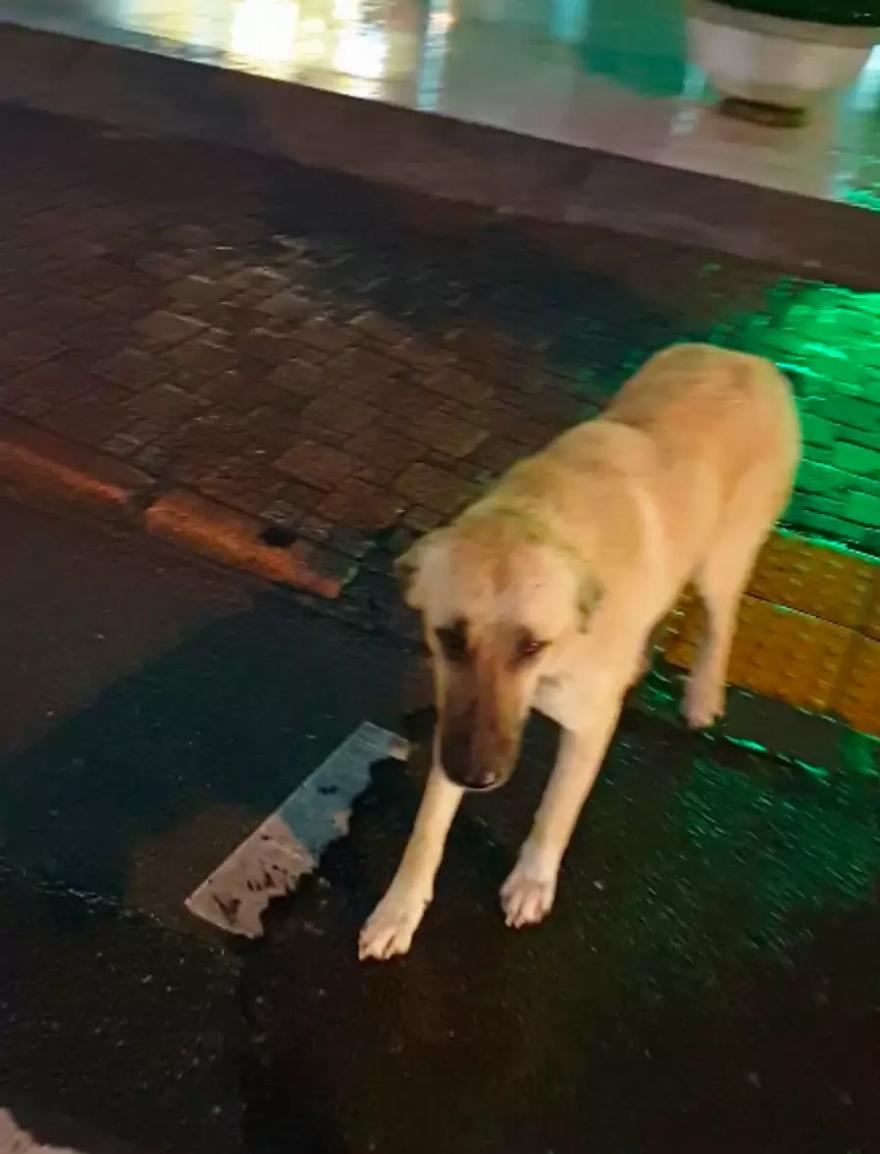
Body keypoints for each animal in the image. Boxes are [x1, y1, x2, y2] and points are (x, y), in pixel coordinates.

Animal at [359, 344, 800, 961]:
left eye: (533, 645)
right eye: (448, 637)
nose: (477, 776)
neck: (537, 515)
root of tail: (747, 358)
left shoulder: (584, 731)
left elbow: (555, 811)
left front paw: (531, 881)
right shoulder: (459, 723)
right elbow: (428, 827)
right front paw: (399, 908)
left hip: (722, 562)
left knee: (721, 621)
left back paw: (701, 695)